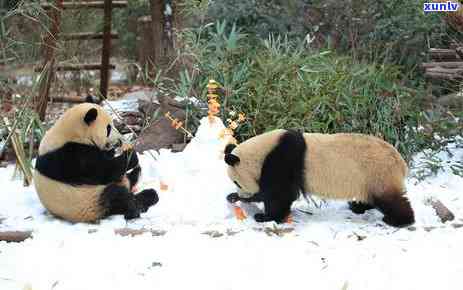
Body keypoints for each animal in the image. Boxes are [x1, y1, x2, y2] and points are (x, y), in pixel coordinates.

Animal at [223, 129, 416, 227]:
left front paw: (265, 216)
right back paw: (357, 206)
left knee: (390, 200)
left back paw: (399, 220)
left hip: (377, 173)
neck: (262, 152)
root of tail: (401, 162)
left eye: (236, 181)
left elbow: (279, 193)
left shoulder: (283, 158)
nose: (242, 194)